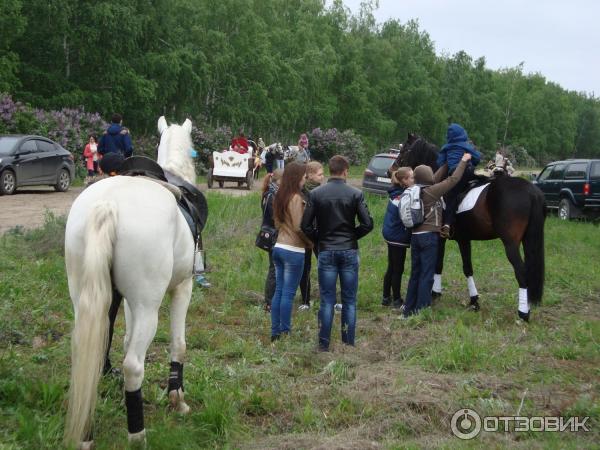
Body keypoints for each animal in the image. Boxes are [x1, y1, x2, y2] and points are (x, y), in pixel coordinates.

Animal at [64, 118, 198, 448]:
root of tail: (108, 204)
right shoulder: (183, 287)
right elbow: (179, 345)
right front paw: (177, 399)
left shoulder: (124, 300)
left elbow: (122, 341)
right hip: (149, 307)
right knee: (133, 365)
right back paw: (137, 434)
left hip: (86, 296)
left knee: (89, 358)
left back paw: (85, 434)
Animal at [392, 135, 548, 322]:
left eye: (404, 150)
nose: (391, 171)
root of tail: (531, 191)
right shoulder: (464, 239)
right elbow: (468, 268)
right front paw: (474, 301)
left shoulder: (441, 237)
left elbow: (439, 264)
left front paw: (436, 293)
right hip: (529, 239)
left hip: (510, 244)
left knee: (522, 272)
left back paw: (523, 313)